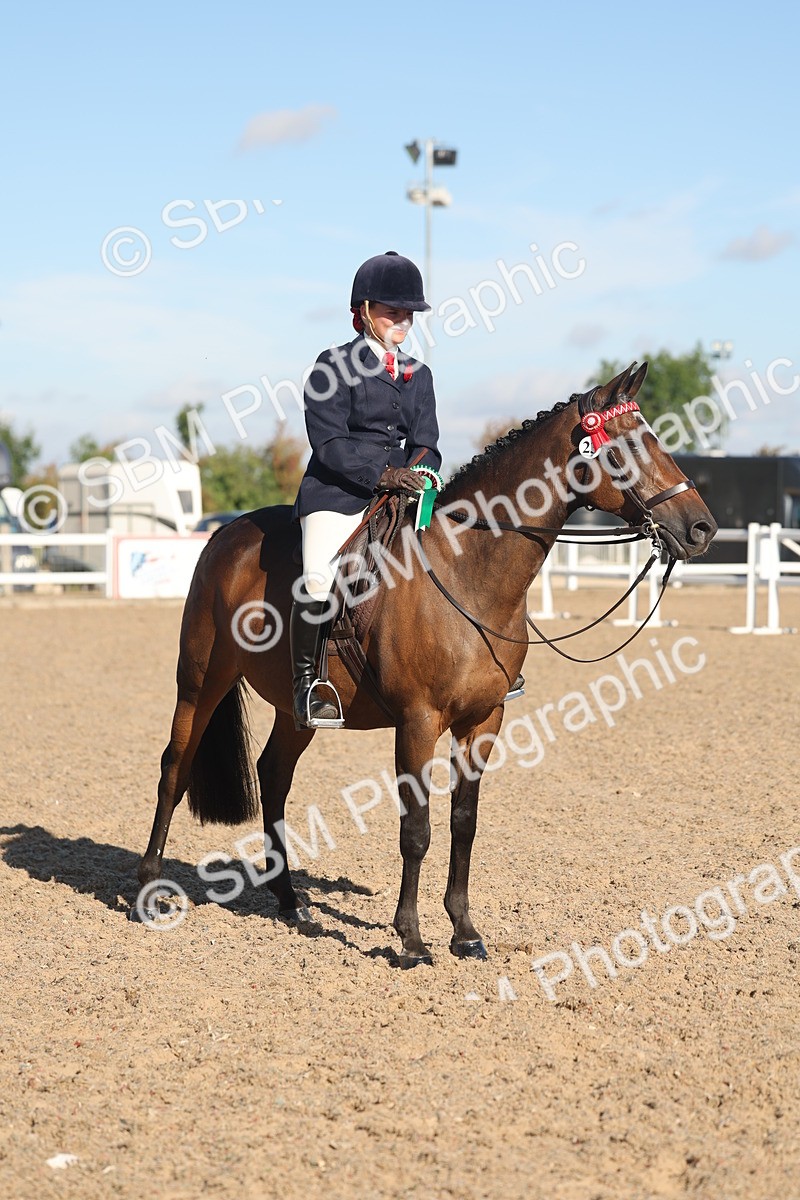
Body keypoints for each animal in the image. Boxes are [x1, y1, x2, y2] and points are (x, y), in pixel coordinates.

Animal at [137, 363, 717, 965]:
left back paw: (290, 903)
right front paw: (411, 939)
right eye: (626, 446)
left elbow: (464, 822)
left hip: (299, 711)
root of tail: (225, 533)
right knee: (175, 766)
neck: (469, 571)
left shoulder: (484, 721)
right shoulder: (418, 723)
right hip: (200, 681)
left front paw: (464, 930)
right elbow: (416, 828)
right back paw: (150, 890)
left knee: (274, 776)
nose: (702, 528)